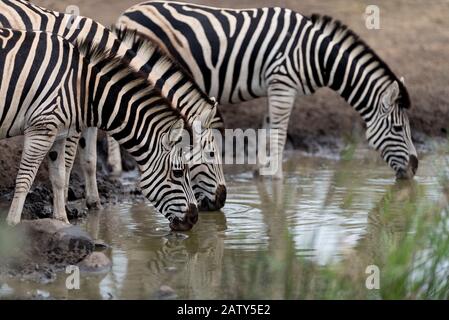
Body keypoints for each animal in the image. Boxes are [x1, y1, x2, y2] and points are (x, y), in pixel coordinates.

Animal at [0, 0, 226, 215]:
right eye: (211, 154)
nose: (221, 199)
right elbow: (68, 162)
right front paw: (64, 204)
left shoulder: (90, 110)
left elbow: (90, 159)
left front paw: (94, 203)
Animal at [117, 1, 418, 179]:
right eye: (398, 128)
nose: (415, 169)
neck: (316, 55)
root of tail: (127, 13)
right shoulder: (283, 84)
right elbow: (279, 134)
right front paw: (276, 176)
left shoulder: (273, 86)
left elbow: (267, 129)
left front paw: (262, 171)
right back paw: (118, 168)